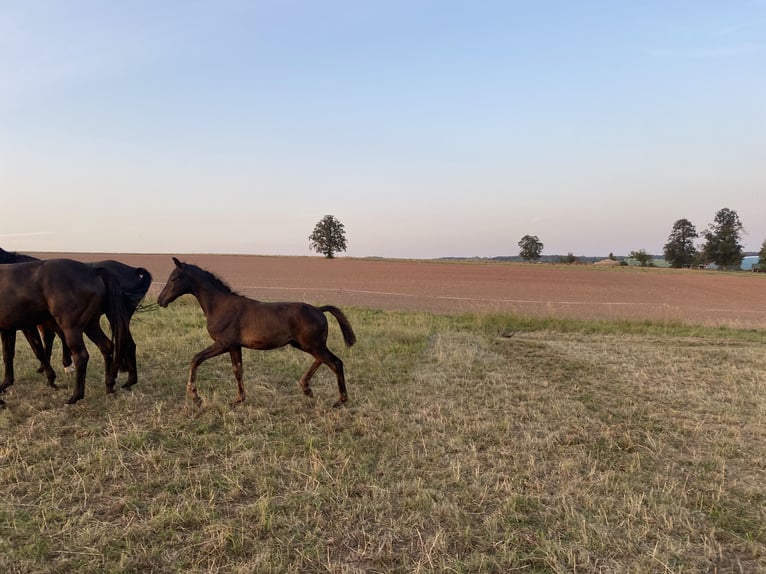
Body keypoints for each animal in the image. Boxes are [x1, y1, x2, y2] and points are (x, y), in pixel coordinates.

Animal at [0, 248, 152, 388]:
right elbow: (16, 351)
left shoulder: (30, 324)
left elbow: (39, 348)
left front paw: (54, 374)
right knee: (125, 344)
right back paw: (125, 380)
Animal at [160, 258, 358, 408]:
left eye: (173, 278)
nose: (160, 300)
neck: (220, 305)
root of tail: (319, 309)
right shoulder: (234, 346)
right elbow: (237, 370)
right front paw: (238, 400)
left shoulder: (223, 344)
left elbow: (196, 359)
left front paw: (195, 397)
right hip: (306, 345)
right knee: (323, 360)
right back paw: (306, 388)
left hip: (313, 345)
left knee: (335, 363)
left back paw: (339, 401)